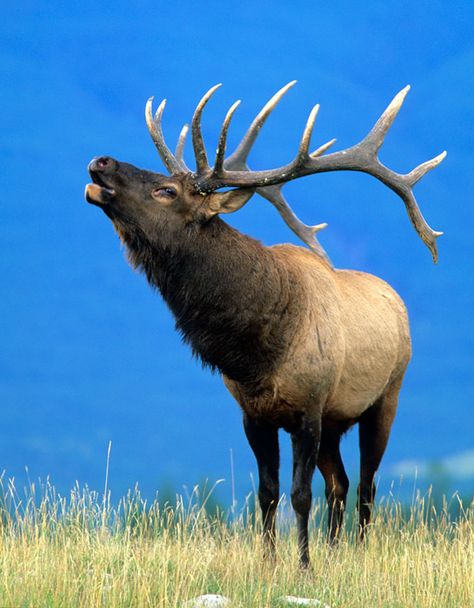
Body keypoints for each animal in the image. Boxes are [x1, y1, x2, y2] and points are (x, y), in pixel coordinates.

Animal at [85, 83, 444, 568]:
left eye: (166, 190)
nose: (101, 161)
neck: (256, 352)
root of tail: (397, 299)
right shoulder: (254, 414)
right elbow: (267, 493)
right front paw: (270, 562)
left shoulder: (308, 409)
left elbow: (299, 495)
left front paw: (304, 566)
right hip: (335, 421)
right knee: (341, 483)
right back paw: (334, 551)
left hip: (385, 396)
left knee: (367, 486)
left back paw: (353, 552)